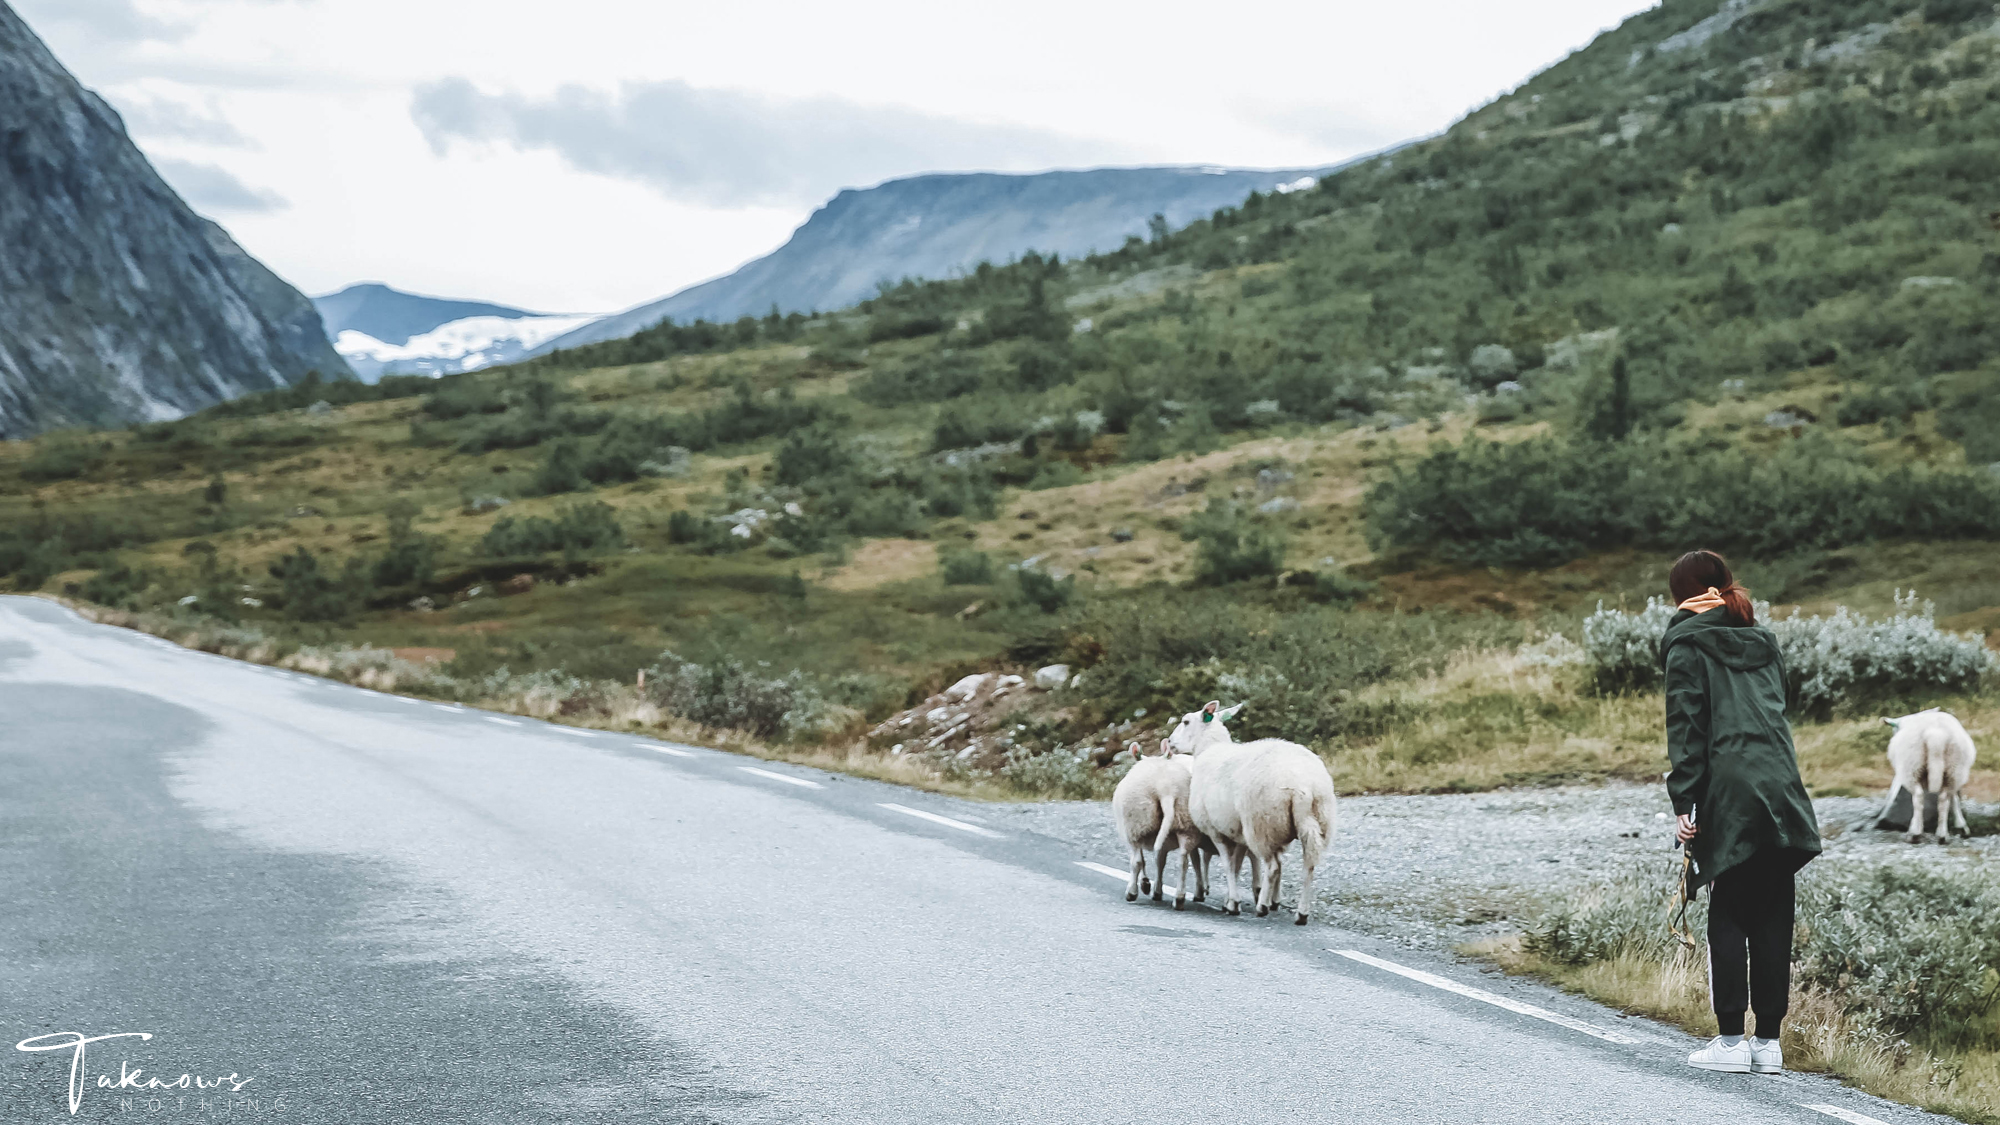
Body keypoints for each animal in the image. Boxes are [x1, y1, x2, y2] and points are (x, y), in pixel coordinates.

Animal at [1112, 736, 1216, 912]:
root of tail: (1166, 789)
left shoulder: (1138, 833)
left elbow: (1144, 860)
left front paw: (1146, 885)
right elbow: (1160, 861)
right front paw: (1153, 888)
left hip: (1136, 824)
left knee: (1137, 861)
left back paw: (1131, 892)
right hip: (1185, 824)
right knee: (1184, 861)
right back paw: (1180, 898)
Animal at [1880, 708, 1976, 840]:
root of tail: (1936, 734)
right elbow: (1954, 798)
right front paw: (1961, 825)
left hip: (1912, 766)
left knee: (1918, 796)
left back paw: (1915, 832)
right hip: (1954, 767)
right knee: (1944, 798)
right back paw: (1942, 833)